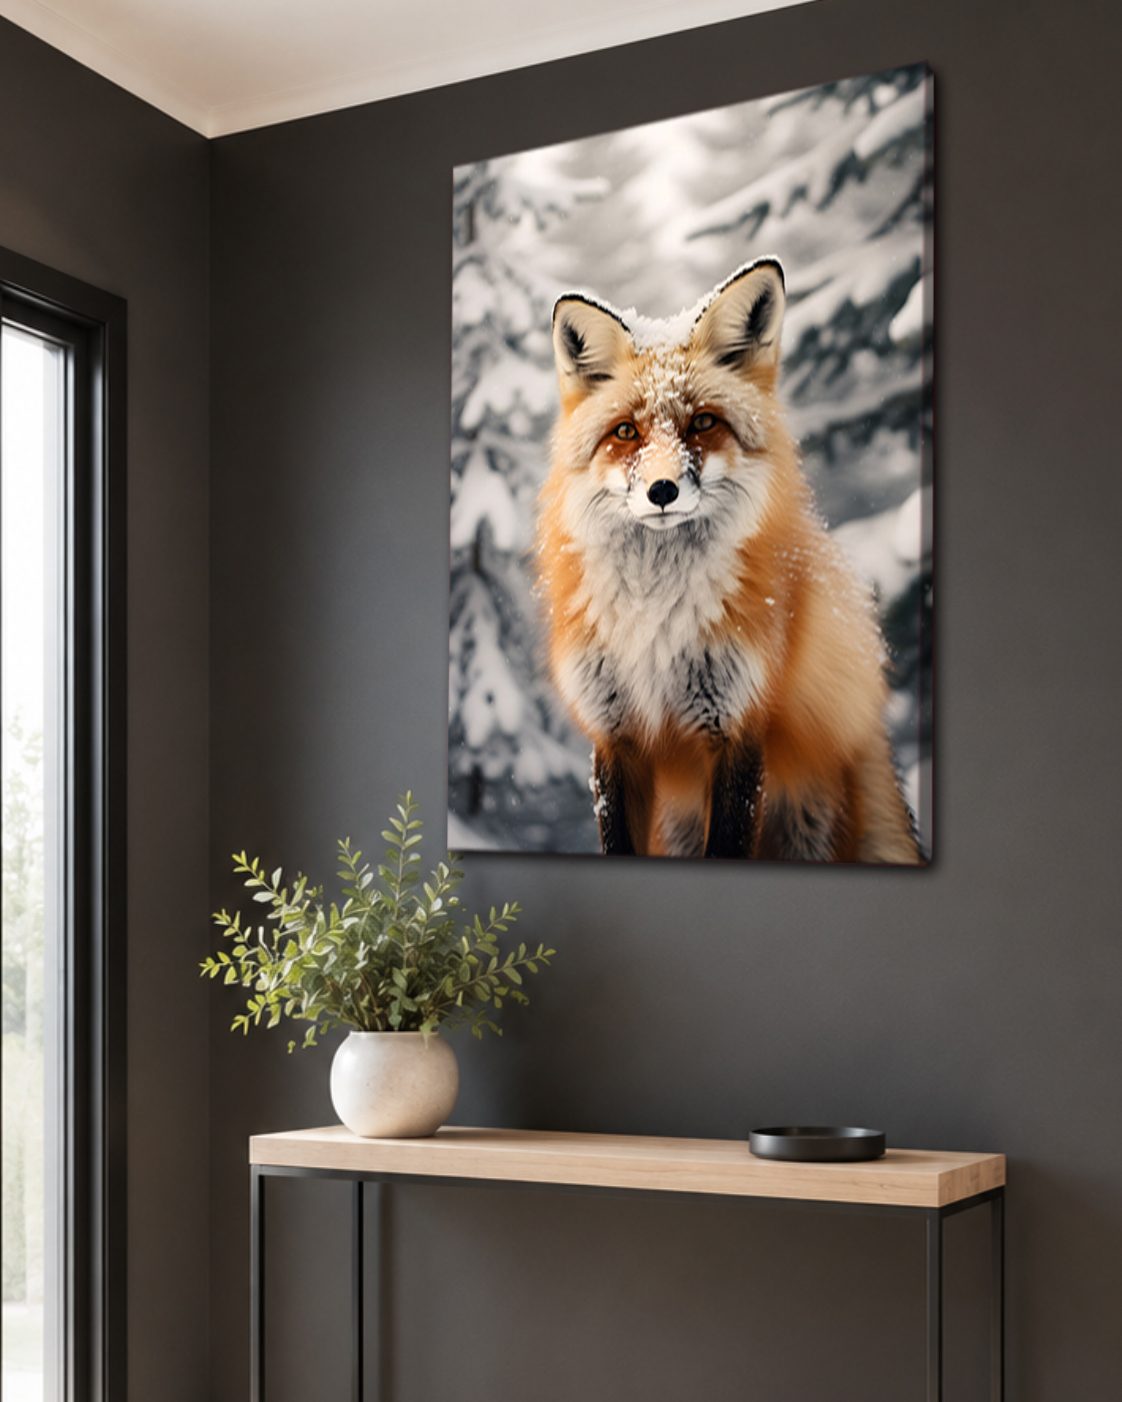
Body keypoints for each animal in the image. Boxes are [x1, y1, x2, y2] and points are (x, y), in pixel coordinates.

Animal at [536, 258, 922, 863]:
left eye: (702, 423)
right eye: (626, 432)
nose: (663, 491)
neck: (656, 620)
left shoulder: (739, 727)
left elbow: (729, 843)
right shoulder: (614, 734)